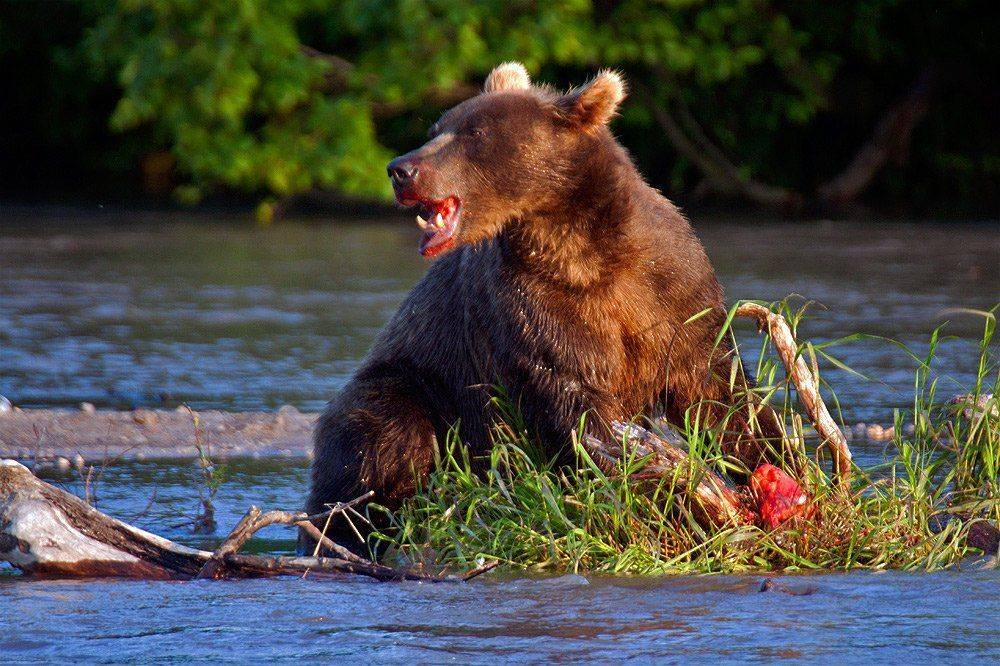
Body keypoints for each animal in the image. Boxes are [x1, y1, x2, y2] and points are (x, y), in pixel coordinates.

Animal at [306, 62, 785, 549]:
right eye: (437, 128)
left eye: (475, 132)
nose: (400, 169)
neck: (579, 247)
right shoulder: (533, 304)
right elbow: (575, 395)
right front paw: (686, 495)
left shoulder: (672, 292)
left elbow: (718, 390)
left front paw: (776, 461)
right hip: (415, 384)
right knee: (384, 436)